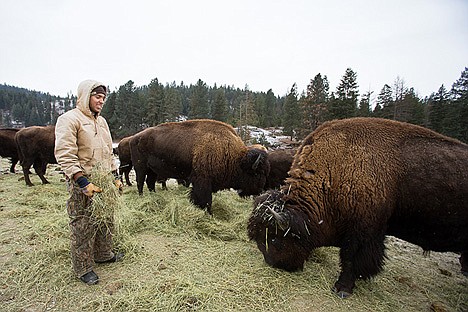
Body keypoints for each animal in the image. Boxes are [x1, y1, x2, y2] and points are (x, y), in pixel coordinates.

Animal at [131, 118, 270, 213]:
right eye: (257, 173)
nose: (260, 190)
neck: (236, 158)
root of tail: (135, 137)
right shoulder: (203, 181)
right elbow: (206, 200)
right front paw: (208, 213)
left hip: (152, 170)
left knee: (150, 182)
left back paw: (153, 196)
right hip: (140, 167)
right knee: (140, 182)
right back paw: (141, 196)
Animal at [247, 118, 466, 298]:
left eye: (274, 239)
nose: (275, 264)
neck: (332, 173)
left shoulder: (363, 230)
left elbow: (351, 258)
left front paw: (342, 289)